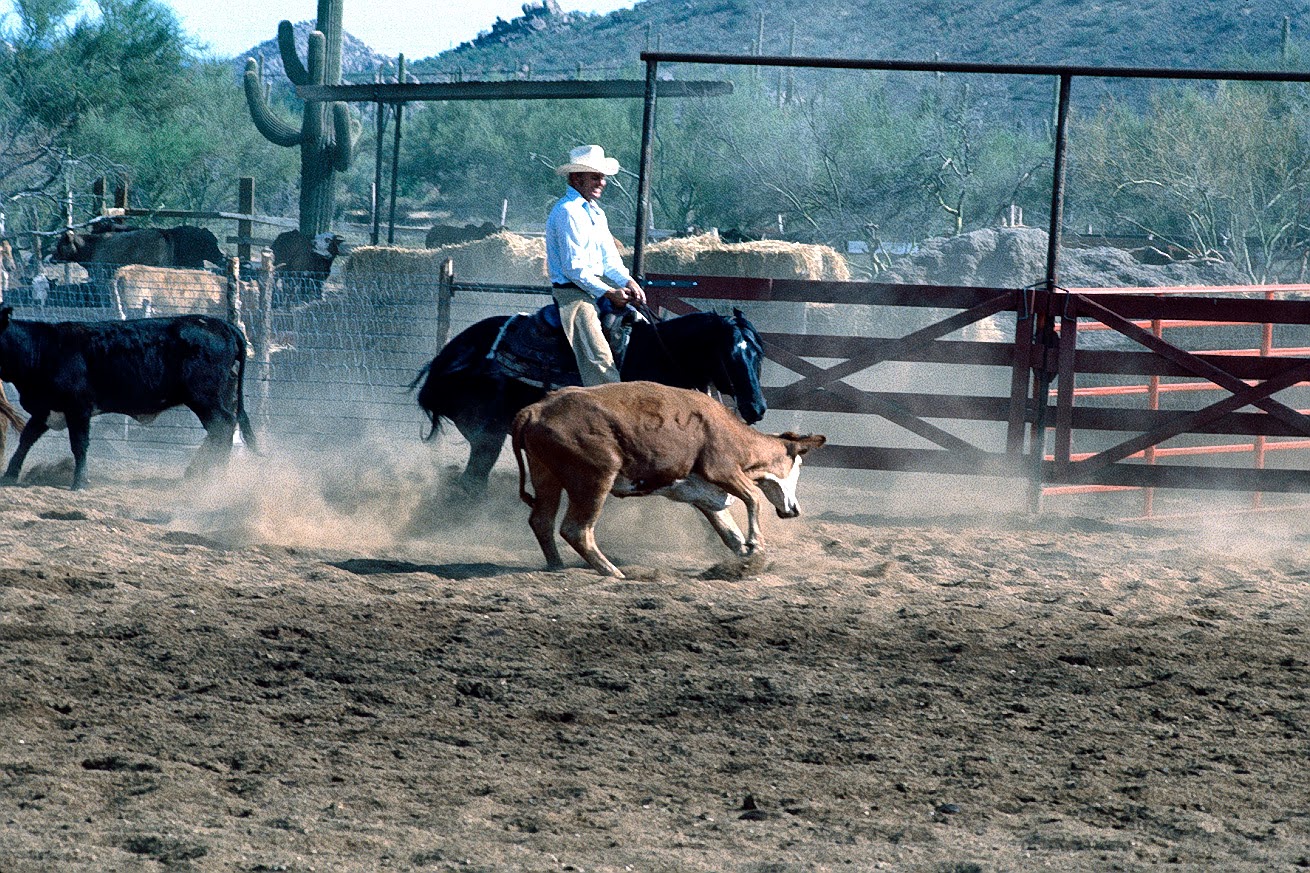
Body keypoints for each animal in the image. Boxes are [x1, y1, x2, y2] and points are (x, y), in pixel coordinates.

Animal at [411, 307, 767, 492]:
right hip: (488, 433)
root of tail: (446, 358)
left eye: (758, 355)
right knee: (472, 481)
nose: (757, 407)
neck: (659, 355)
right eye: (730, 356)